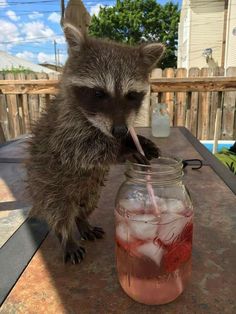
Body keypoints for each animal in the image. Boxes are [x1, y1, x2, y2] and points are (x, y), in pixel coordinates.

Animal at [26, 23, 164, 264]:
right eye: (99, 93)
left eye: (131, 95)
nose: (120, 131)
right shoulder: (64, 130)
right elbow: (81, 150)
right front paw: (122, 150)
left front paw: (138, 141)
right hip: (48, 185)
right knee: (58, 211)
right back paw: (66, 236)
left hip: (91, 189)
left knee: (87, 203)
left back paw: (82, 220)